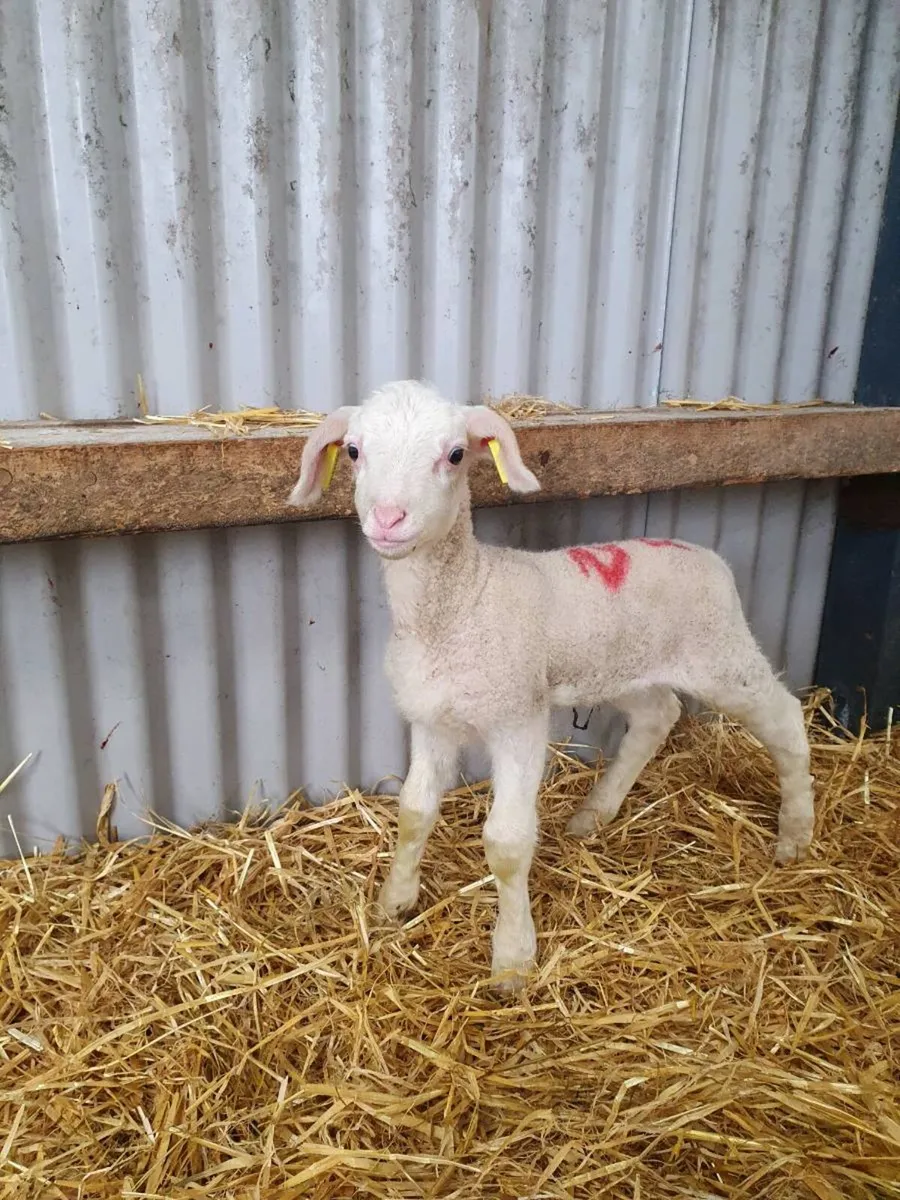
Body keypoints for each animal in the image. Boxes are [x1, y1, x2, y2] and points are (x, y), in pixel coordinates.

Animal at [288, 380, 815, 992]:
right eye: (352, 451)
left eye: (456, 455)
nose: (389, 518)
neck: (463, 600)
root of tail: (706, 557)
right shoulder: (431, 718)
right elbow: (414, 812)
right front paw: (394, 902)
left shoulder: (519, 718)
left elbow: (507, 842)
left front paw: (513, 961)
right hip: (621, 665)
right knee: (657, 714)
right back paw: (594, 815)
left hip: (721, 655)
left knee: (784, 717)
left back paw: (795, 835)